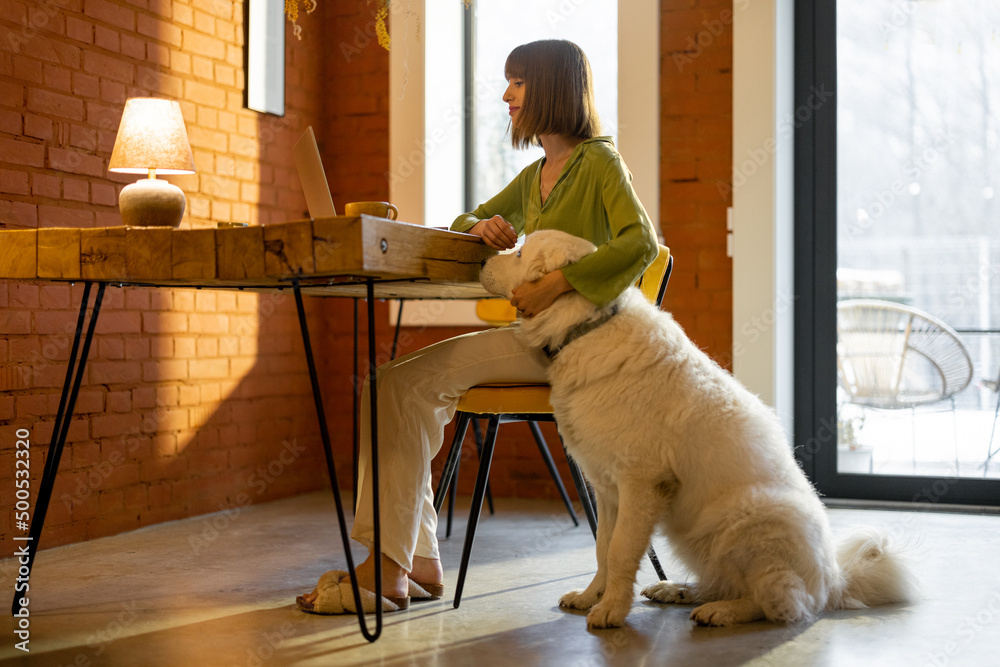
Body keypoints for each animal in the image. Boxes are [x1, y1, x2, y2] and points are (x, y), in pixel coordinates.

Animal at [480, 231, 916, 632]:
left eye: (518, 254)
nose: (481, 259)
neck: (587, 327)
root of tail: (833, 581)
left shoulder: (640, 484)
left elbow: (620, 551)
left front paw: (610, 611)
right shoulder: (606, 488)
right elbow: (603, 546)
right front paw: (591, 597)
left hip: (750, 519)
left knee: (781, 602)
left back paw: (722, 612)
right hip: (693, 536)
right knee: (723, 582)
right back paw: (676, 590)